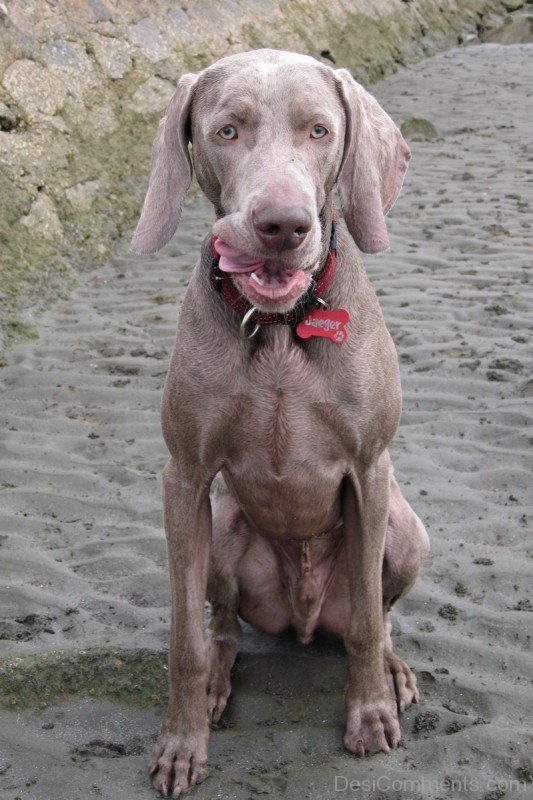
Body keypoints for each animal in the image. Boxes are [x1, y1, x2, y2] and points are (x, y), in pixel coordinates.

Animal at [132, 50, 428, 800]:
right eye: (227, 130)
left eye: (319, 129)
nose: (282, 224)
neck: (276, 327)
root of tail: (302, 618)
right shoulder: (184, 478)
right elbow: (183, 638)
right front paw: (181, 743)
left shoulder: (369, 467)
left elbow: (366, 623)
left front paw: (368, 713)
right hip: (222, 523)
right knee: (224, 626)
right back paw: (217, 680)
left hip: (406, 529)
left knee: (375, 617)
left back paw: (392, 671)